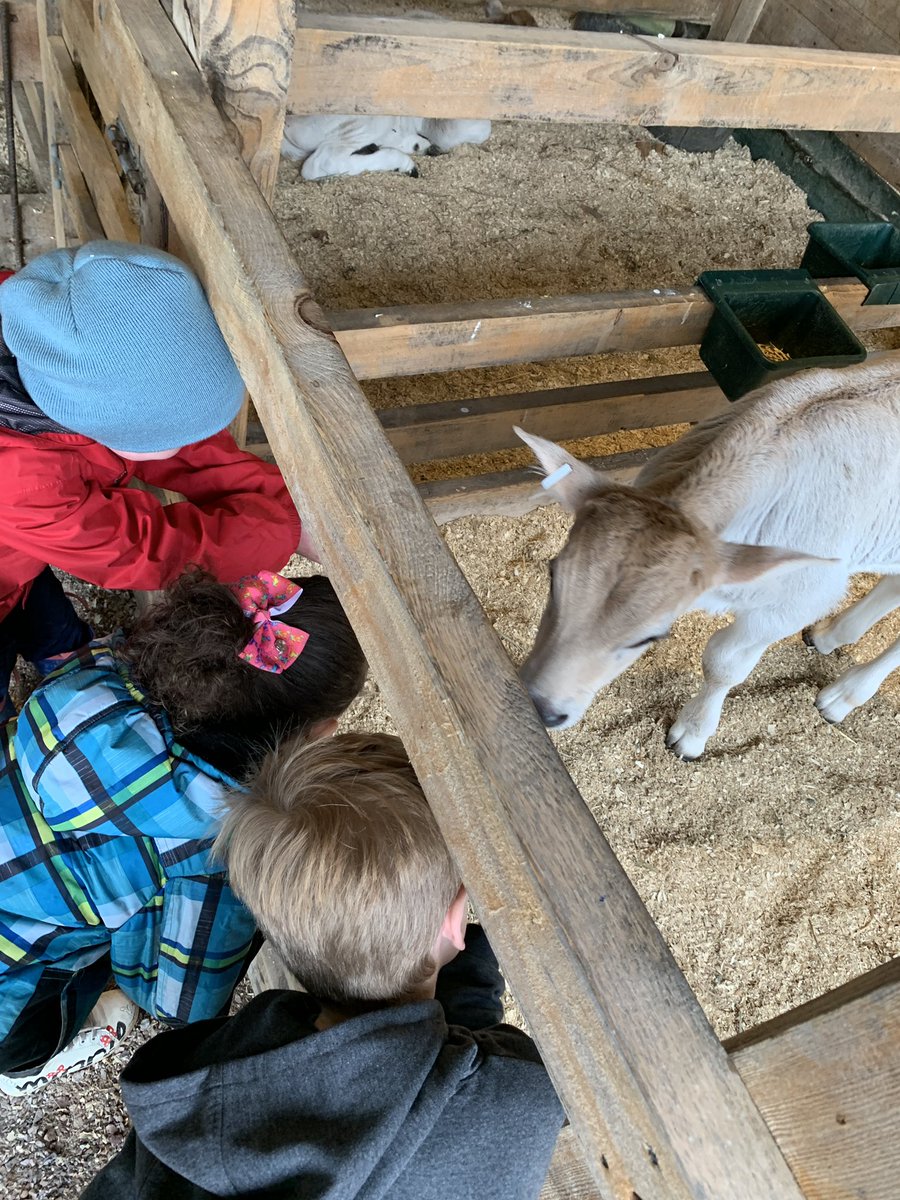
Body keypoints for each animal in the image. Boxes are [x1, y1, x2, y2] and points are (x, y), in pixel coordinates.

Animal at [515, 358, 900, 758]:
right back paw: (830, 636)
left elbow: (723, 663)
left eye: (650, 637)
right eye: (553, 579)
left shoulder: (801, 599)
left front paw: (692, 733)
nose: (541, 708)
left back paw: (843, 696)